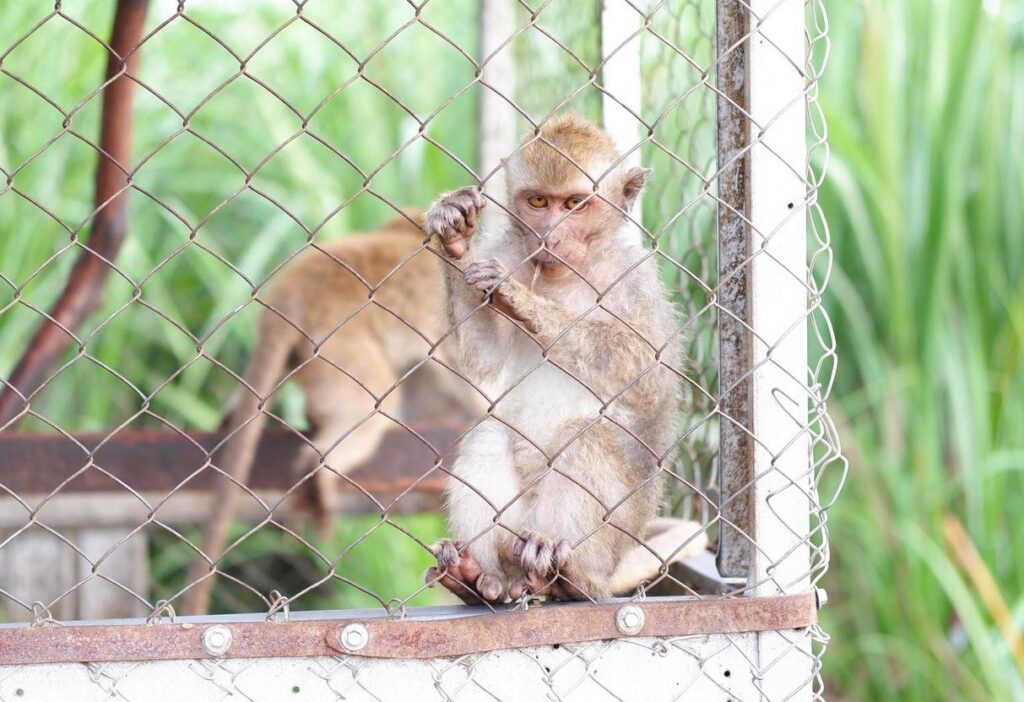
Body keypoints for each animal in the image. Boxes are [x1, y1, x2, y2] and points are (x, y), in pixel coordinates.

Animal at [422, 114, 706, 603]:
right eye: (538, 201)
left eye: (575, 204)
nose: (550, 236)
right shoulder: (508, 252)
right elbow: (483, 360)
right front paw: (455, 238)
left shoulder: (635, 279)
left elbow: (649, 377)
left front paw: (520, 300)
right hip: (513, 529)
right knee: (491, 435)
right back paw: (477, 577)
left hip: (613, 534)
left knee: (584, 437)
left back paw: (570, 578)